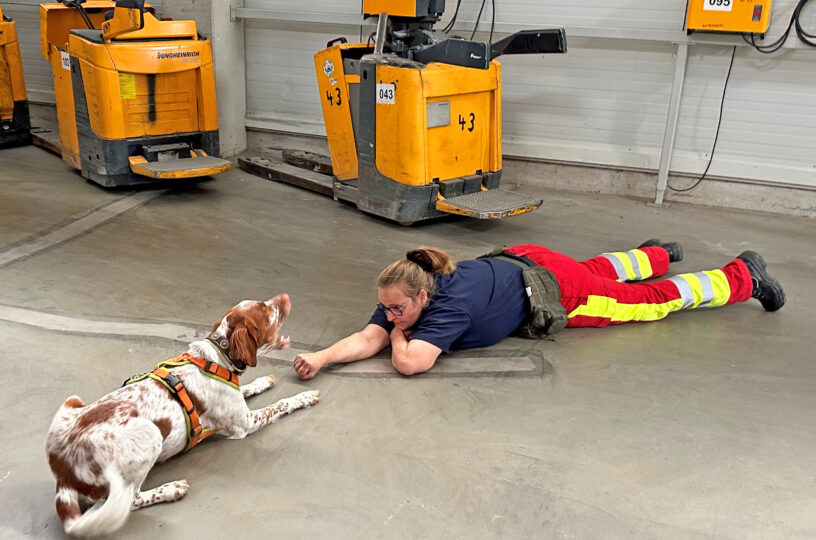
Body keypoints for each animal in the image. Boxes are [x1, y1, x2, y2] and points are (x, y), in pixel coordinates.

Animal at [43, 296, 318, 536]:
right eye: (266, 309)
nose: (285, 297)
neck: (217, 358)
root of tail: (64, 474)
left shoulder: (238, 403)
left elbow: (248, 388)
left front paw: (264, 381)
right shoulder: (245, 424)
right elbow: (280, 404)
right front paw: (305, 397)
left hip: (72, 401)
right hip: (150, 435)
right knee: (130, 499)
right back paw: (171, 489)